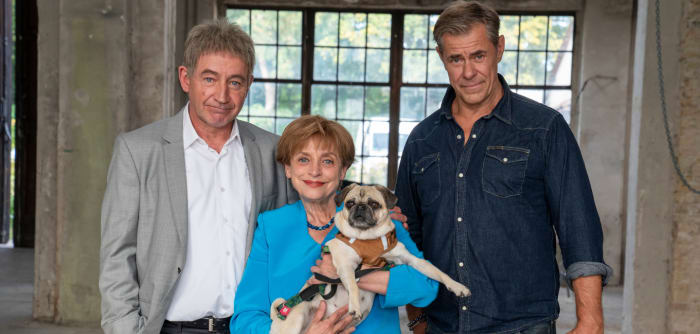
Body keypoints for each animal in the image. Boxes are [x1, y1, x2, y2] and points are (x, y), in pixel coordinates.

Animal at [270, 184, 470, 332]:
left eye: (374, 204)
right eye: (349, 203)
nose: (360, 207)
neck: (368, 237)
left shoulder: (410, 260)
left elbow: (437, 272)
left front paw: (457, 286)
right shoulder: (345, 265)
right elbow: (353, 285)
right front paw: (355, 306)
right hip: (296, 321)